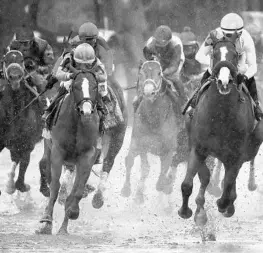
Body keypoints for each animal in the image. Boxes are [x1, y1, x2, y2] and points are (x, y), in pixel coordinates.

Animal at [0, 50, 43, 195]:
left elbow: (23, 164)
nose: (15, 77)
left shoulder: (27, 145)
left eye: (21, 59)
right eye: (5, 60)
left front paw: (17, 185)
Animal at [36, 69, 128, 235]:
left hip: (117, 139)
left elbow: (76, 191)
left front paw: (72, 212)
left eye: (94, 87)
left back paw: (97, 198)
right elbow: (54, 184)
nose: (86, 111)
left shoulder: (87, 156)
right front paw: (46, 221)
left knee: (108, 163)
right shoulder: (57, 152)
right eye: (76, 86)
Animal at [121, 60, 184, 205]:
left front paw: (162, 185)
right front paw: (131, 192)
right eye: (141, 73)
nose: (149, 92)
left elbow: (162, 175)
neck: (154, 120)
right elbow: (139, 165)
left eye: (159, 73)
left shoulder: (168, 150)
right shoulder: (140, 143)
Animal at [179, 34, 263, 225]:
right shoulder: (198, 148)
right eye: (214, 54)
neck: (220, 115)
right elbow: (189, 183)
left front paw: (224, 205)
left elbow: (227, 186)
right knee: (206, 177)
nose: (224, 82)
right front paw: (185, 211)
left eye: (235, 55)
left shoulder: (235, 155)